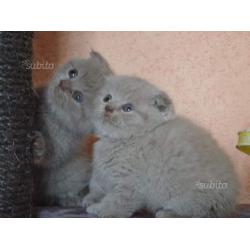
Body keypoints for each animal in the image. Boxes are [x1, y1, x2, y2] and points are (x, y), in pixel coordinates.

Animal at [33, 51, 112, 206]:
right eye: (73, 73)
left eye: (78, 96)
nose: (63, 84)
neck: (51, 113)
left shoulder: (62, 145)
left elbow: (49, 158)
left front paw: (37, 145)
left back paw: (71, 200)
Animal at [81, 74, 238, 217]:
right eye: (107, 98)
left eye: (127, 108)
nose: (108, 107)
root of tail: (230, 202)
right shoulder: (101, 176)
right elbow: (96, 188)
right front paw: (89, 200)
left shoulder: (130, 183)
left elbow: (117, 202)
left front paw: (100, 209)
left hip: (194, 196)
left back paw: (166, 213)